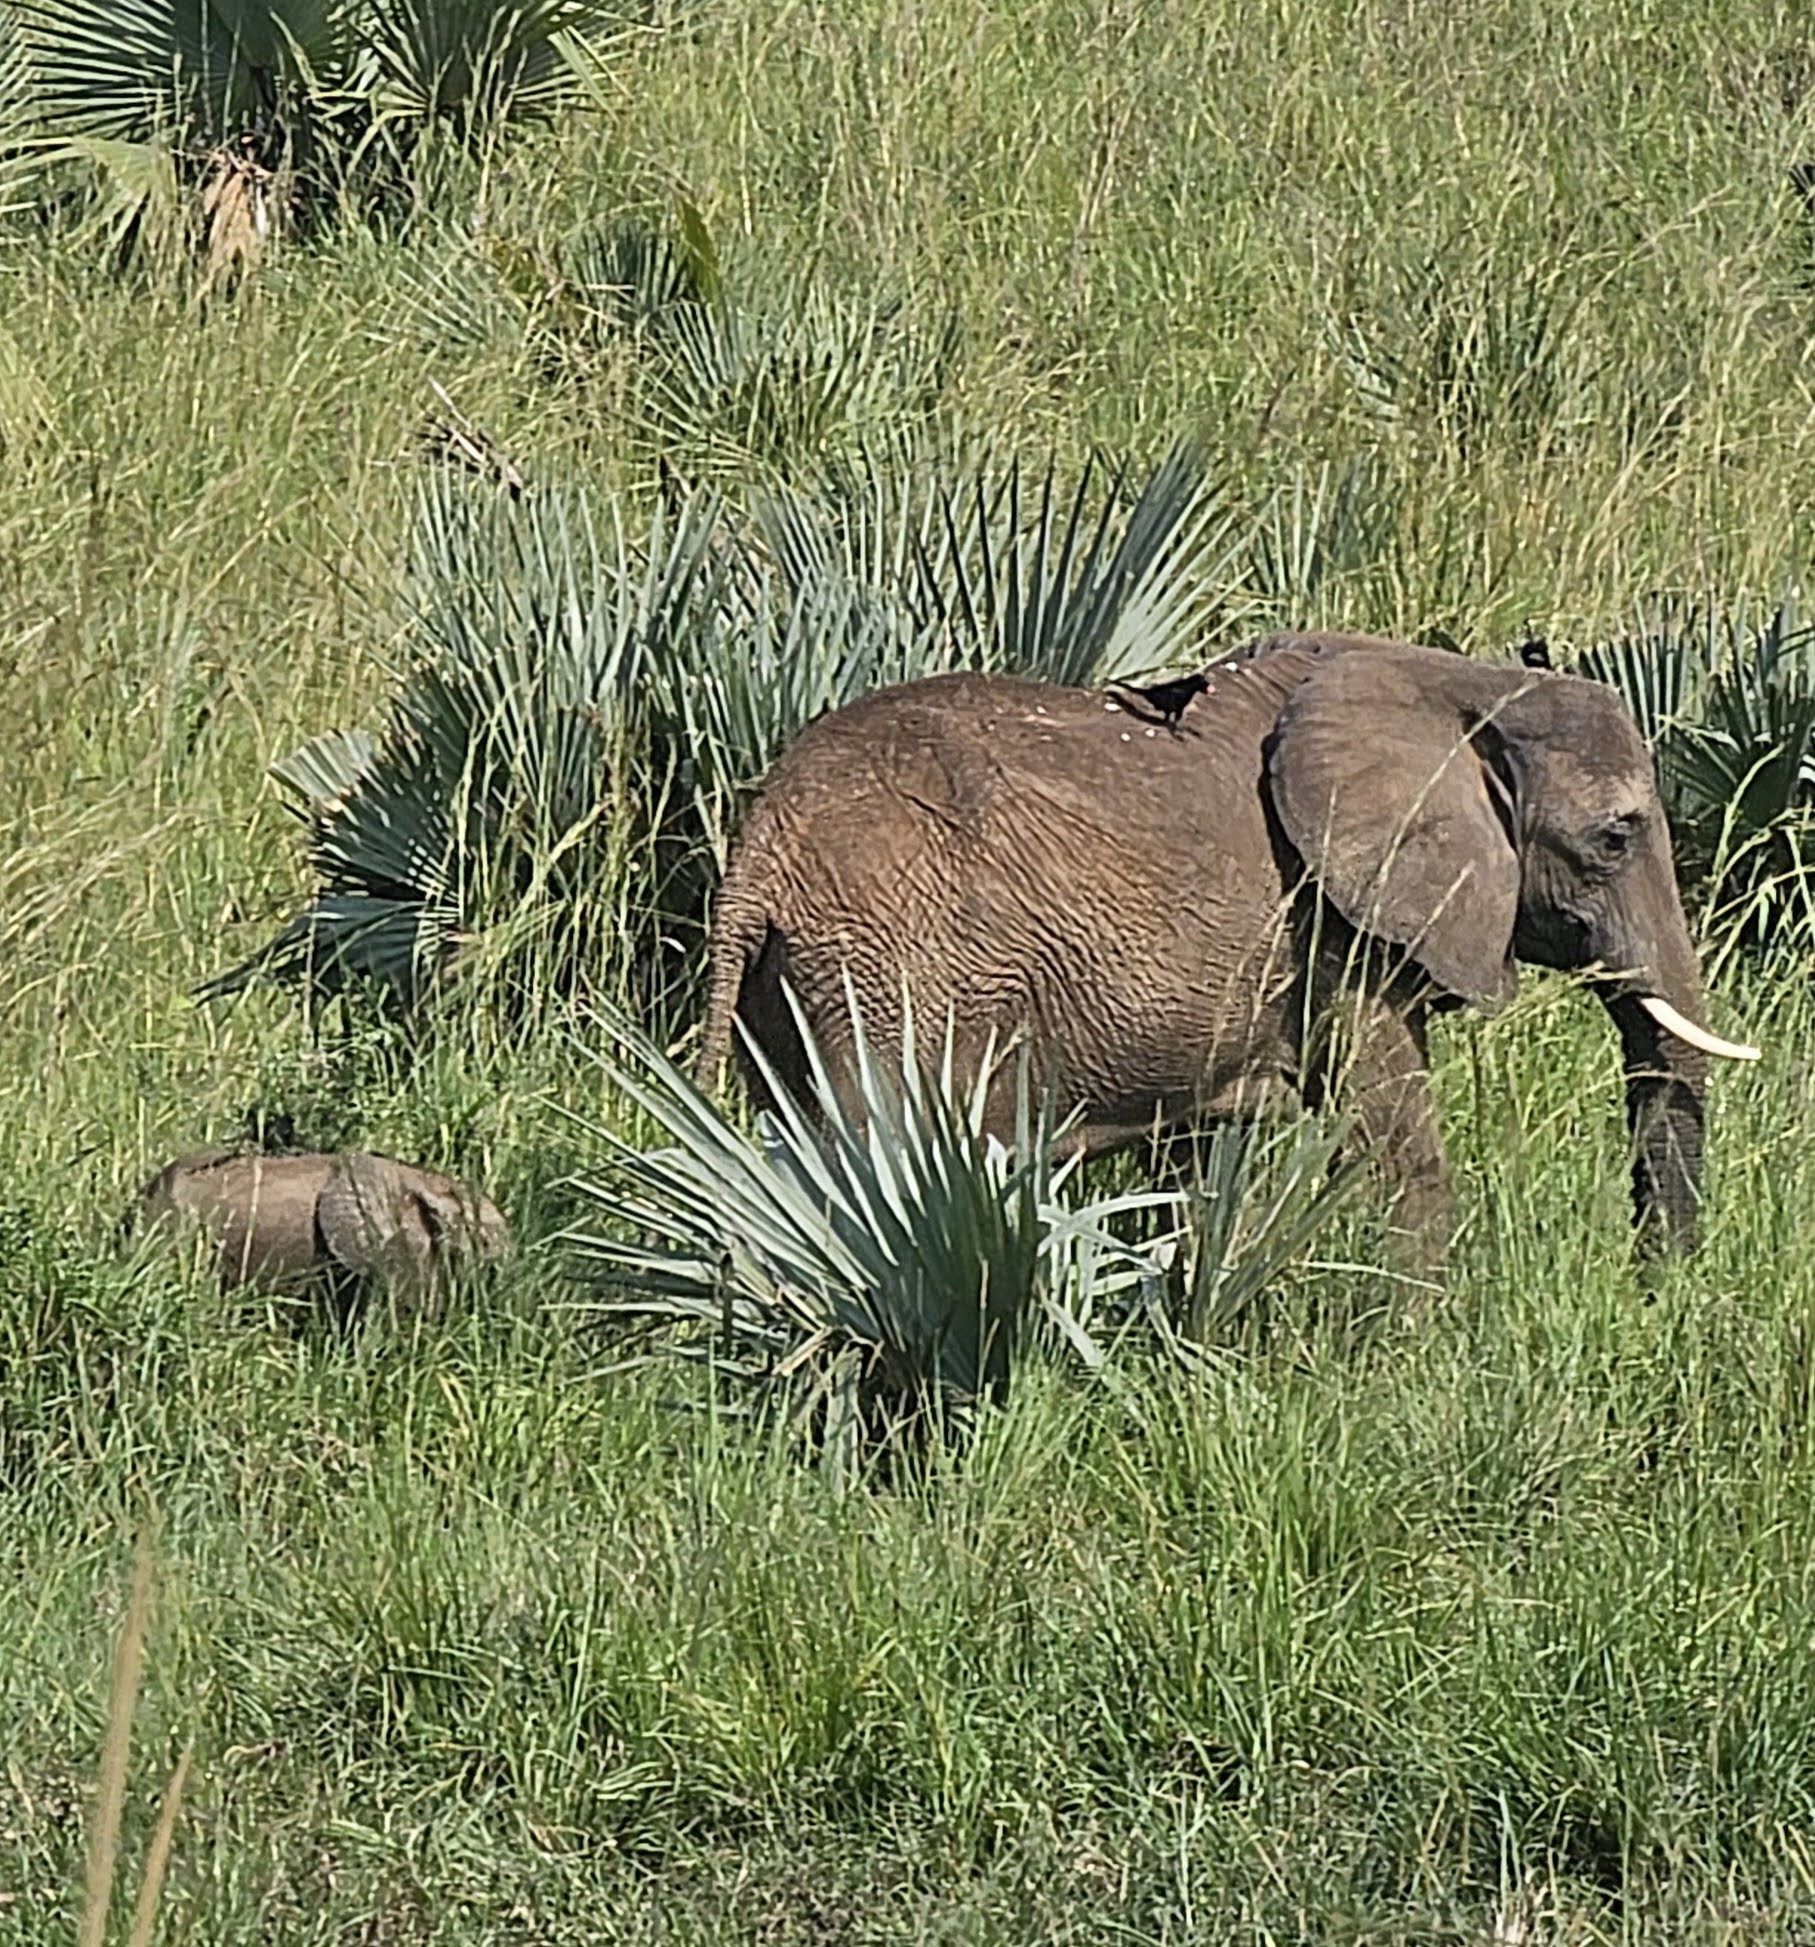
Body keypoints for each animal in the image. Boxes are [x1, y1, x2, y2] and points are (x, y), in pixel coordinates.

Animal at [695, 631, 1759, 1264]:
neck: (1458, 680)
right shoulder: (1333, 922)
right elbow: (1393, 1139)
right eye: (1614, 837)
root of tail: (762, 848)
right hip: (902, 977)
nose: (1653, 1295)